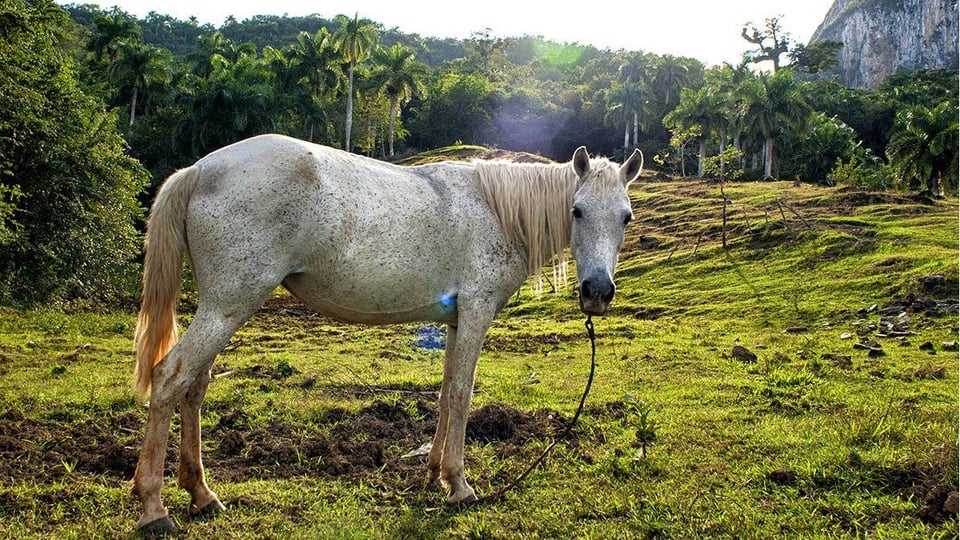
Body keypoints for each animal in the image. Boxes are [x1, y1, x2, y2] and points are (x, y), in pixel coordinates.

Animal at [131, 133, 643, 533]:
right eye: (576, 211)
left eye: (625, 216)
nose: (597, 291)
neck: (497, 211)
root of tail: (199, 170)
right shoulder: (476, 313)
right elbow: (463, 395)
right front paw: (460, 485)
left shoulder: (455, 320)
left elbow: (445, 394)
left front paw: (435, 472)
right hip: (228, 306)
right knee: (170, 378)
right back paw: (154, 507)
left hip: (222, 309)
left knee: (195, 387)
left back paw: (201, 493)